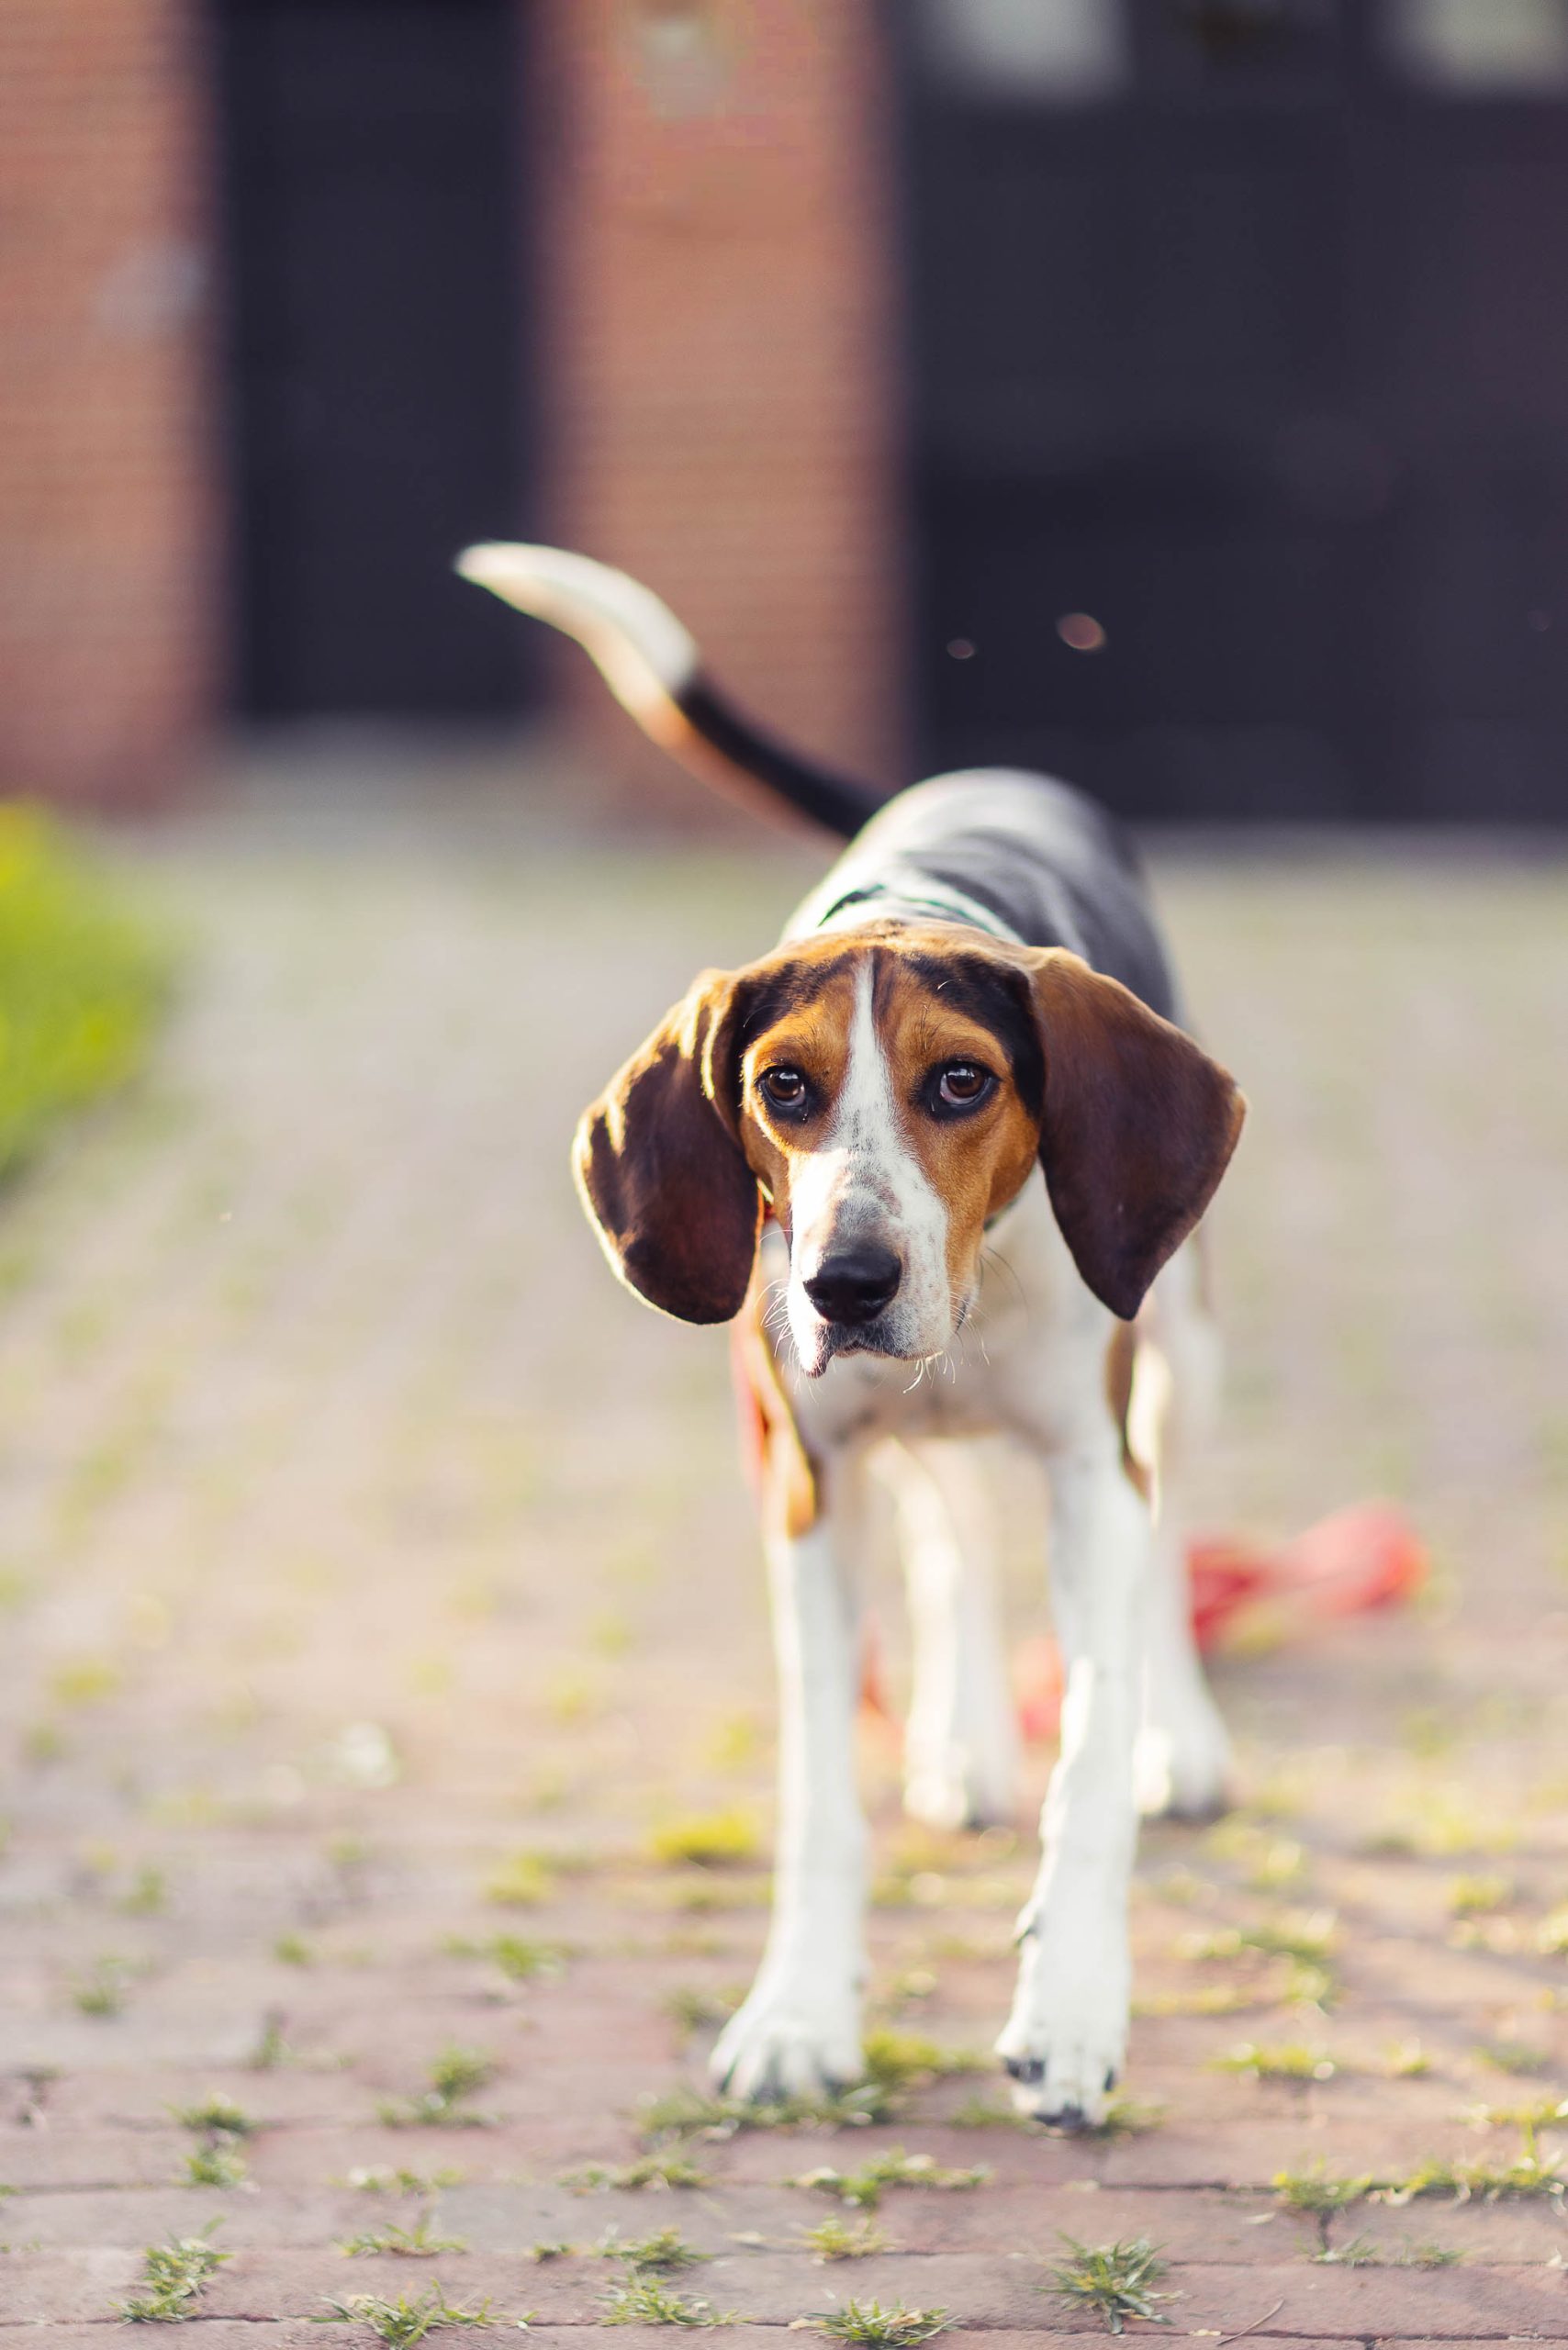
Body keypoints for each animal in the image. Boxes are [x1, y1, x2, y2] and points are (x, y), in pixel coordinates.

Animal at [455, 544, 1250, 2133]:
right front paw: (799, 2013)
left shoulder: (1091, 1470)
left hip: (1178, 1354)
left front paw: (1073, 2006)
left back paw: (1177, 1741)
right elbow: (821, 1790)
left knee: (1160, 1525)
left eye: (963, 1082)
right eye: (781, 1086)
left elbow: (1093, 1735)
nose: (845, 1283)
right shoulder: (805, 1491)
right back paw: (959, 1737)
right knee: (952, 1532)